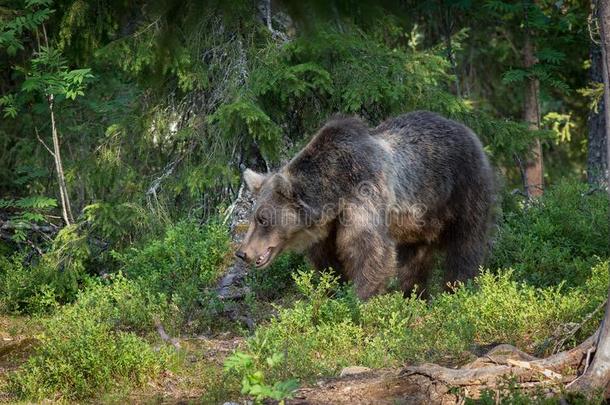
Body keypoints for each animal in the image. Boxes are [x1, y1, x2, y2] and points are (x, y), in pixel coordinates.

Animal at [234, 110, 494, 300]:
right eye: (252, 217)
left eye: (263, 219)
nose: (242, 253)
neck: (334, 189)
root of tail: (469, 131)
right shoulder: (330, 227)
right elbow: (328, 262)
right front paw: (334, 291)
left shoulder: (364, 194)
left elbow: (369, 251)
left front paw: (358, 300)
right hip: (418, 220)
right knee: (414, 258)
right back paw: (413, 296)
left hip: (463, 190)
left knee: (465, 244)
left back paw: (457, 291)